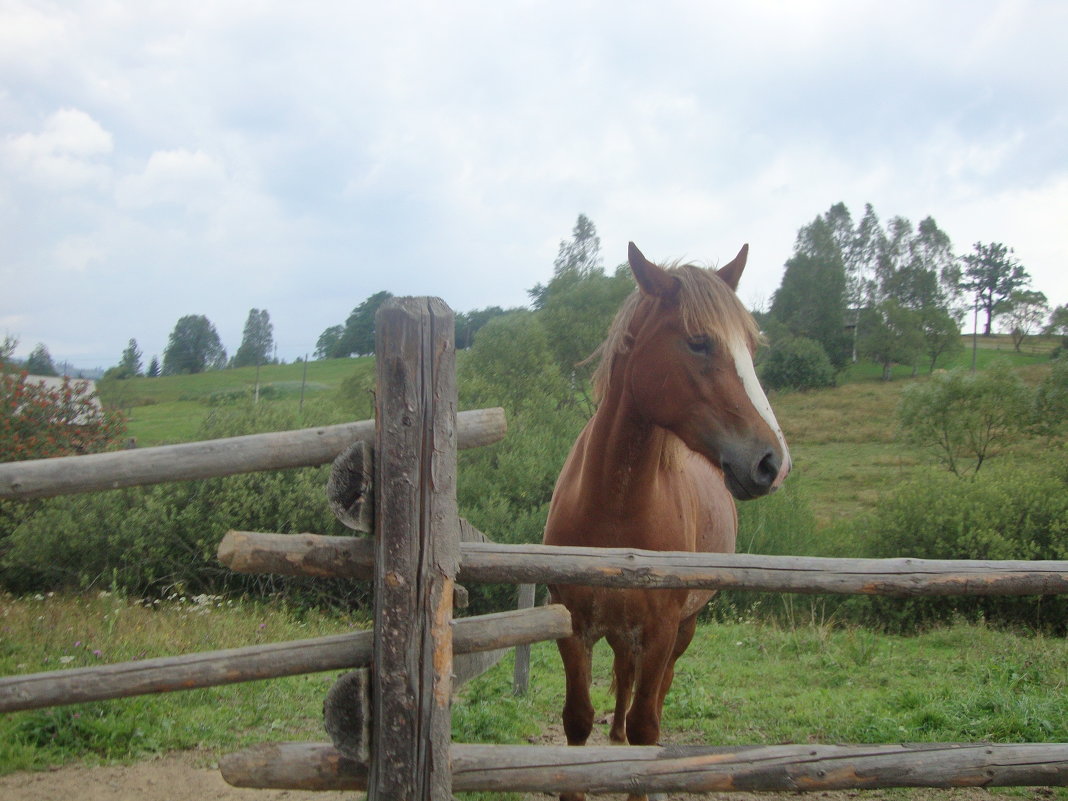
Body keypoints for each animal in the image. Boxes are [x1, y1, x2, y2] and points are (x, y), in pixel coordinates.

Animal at [546, 240, 790, 801]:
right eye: (699, 343)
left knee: (654, 696)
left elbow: (646, 730)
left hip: (684, 629)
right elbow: (577, 721)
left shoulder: (659, 632)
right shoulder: (574, 627)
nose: (772, 462)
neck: (613, 507)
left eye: (750, 344)